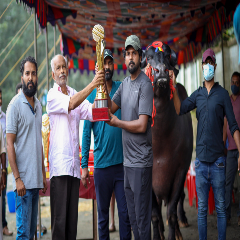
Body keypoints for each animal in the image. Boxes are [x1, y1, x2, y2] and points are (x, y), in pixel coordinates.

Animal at [142, 42, 194, 240]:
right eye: (149, 57)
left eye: (167, 58)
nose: (161, 73)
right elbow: (155, 215)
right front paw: (158, 235)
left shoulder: (181, 169)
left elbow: (171, 212)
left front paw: (174, 232)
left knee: (179, 200)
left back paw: (181, 224)